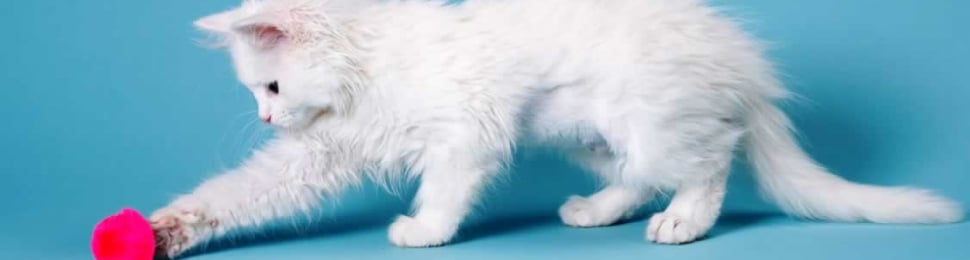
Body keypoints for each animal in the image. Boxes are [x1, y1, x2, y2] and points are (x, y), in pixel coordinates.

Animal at [151, 0, 960, 258]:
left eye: (270, 87)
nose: (263, 115)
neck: (368, 69)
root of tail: (735, 57)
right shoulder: (320, 153)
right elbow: (235, 195)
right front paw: (169, 229)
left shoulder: (468, 131)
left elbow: (445, 189)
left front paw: (424, 230)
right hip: (590, 139)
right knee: (635, 179)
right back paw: (596, 213)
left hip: (653, 122)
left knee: (711, 160)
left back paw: (684, 224)